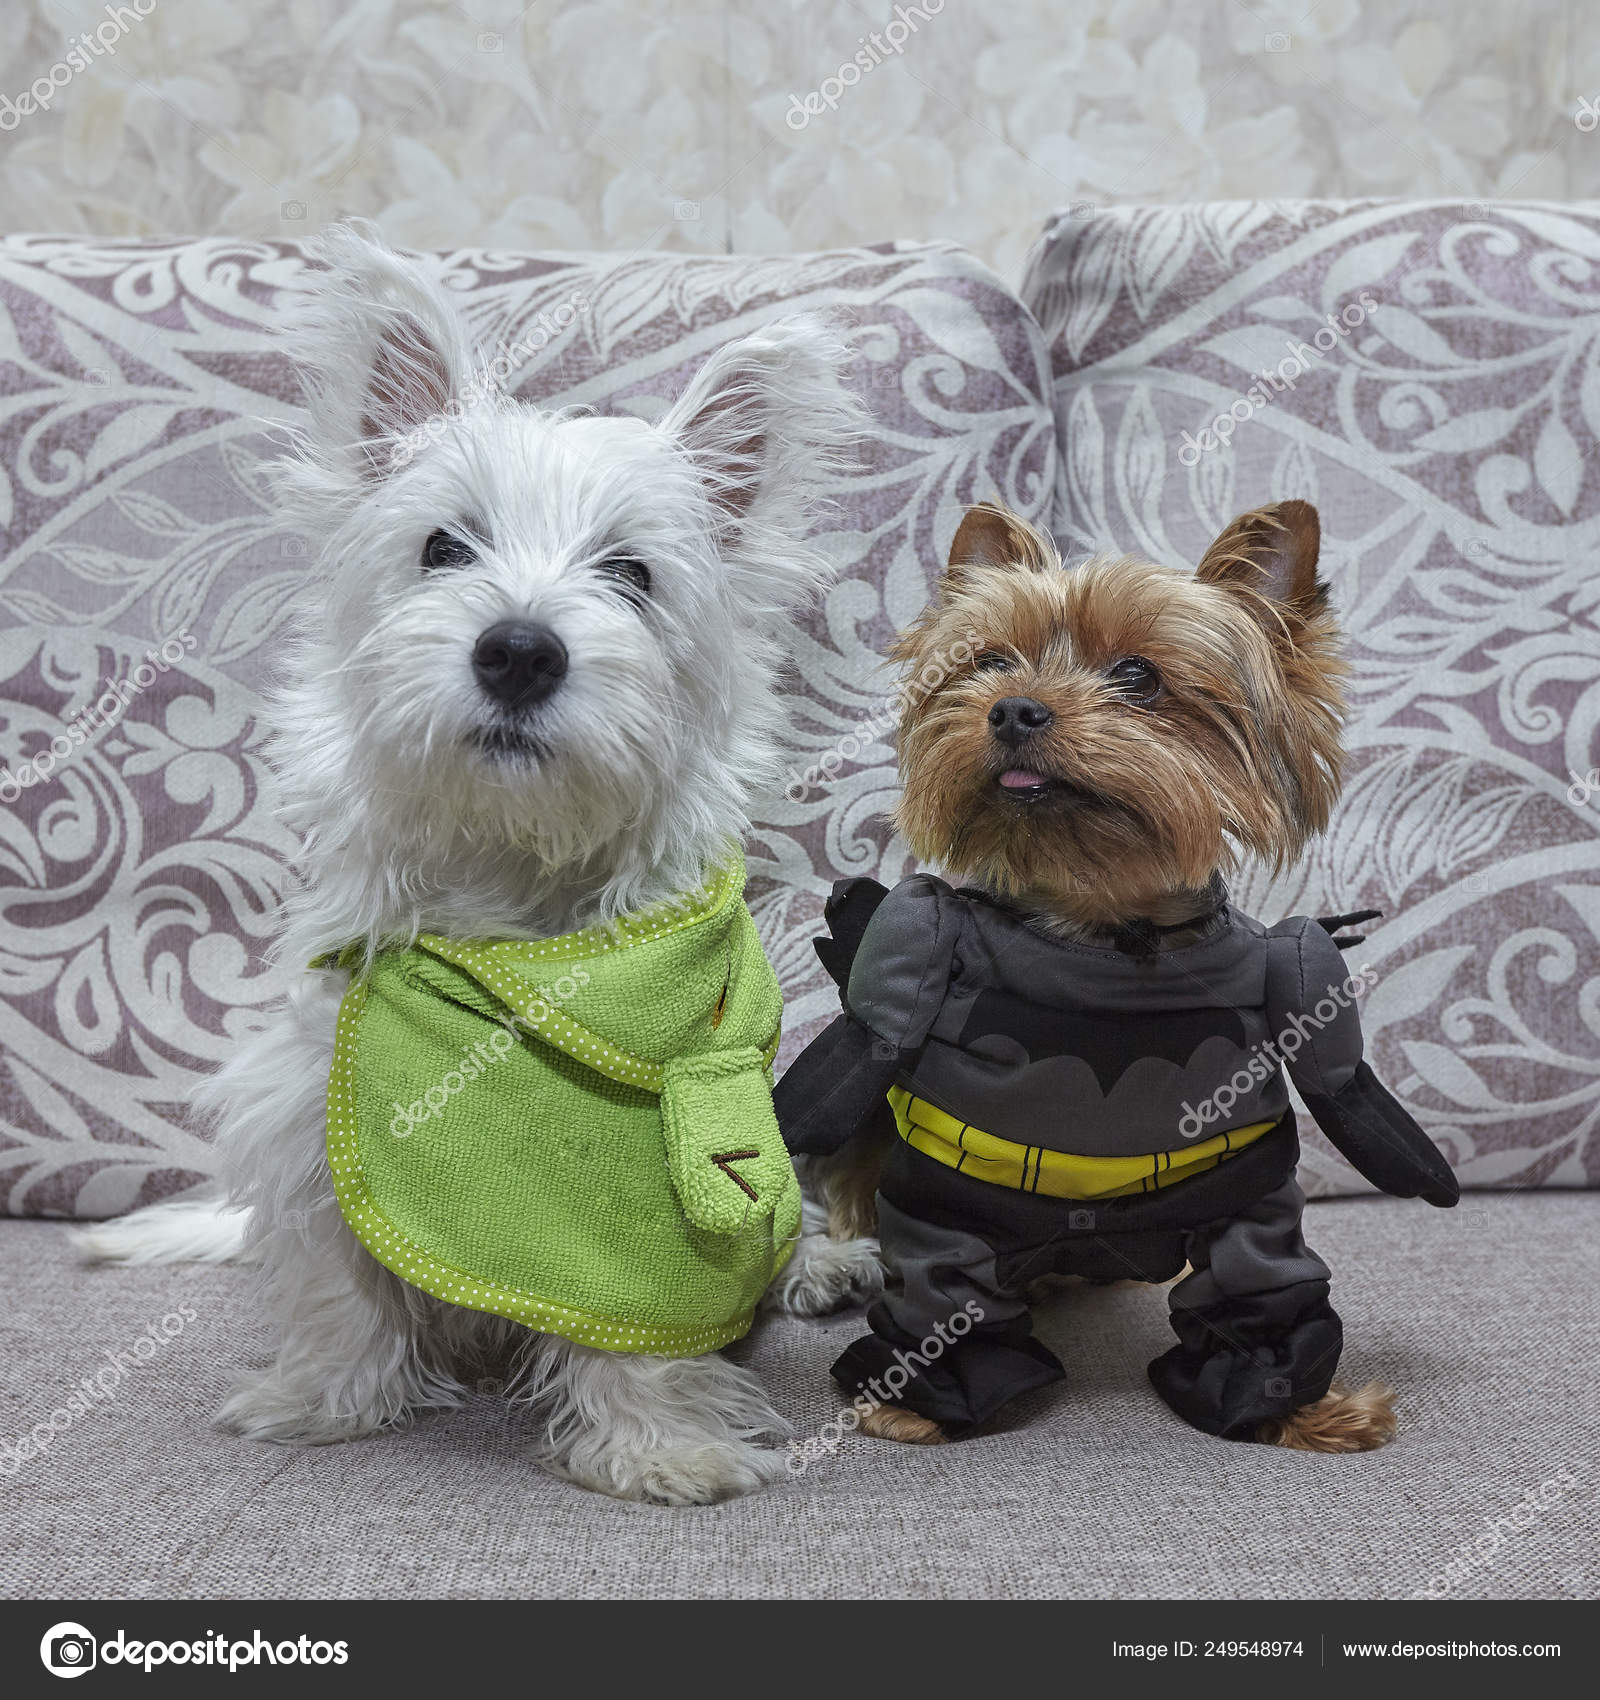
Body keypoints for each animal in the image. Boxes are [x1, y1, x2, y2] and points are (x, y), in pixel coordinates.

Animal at [82, 226, 877, 1502]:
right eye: (442, 546)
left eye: (632, 572)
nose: (517, 648)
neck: (510, 899)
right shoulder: (318, 1112)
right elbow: (342, 1282)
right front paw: (322, 1400)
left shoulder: (662, 1173)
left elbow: (641, 1318)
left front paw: (663, 1446)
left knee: (782, 1222)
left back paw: (819, 1265)